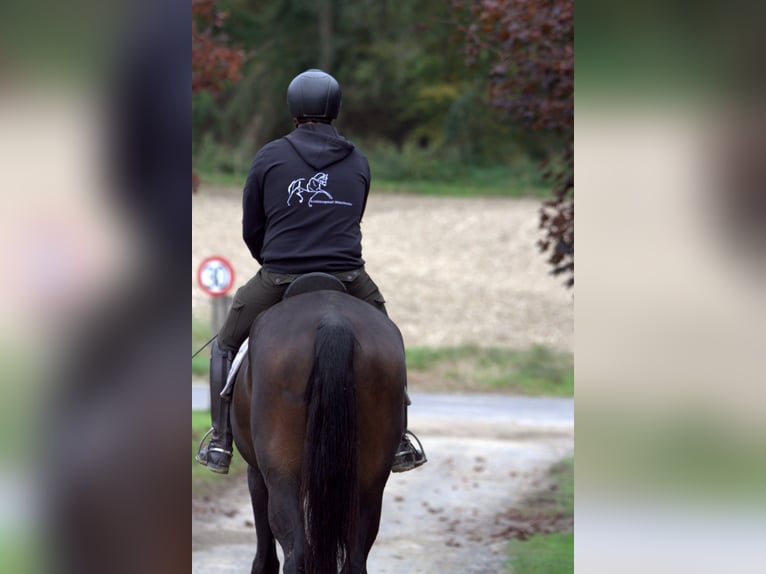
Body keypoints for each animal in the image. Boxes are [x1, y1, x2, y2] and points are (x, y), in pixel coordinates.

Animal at [230, 292, 404, 574]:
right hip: (370, 481)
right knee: (355, 559)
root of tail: (332, 322)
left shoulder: (257, 472)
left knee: (296, 553)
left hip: (282, 474)